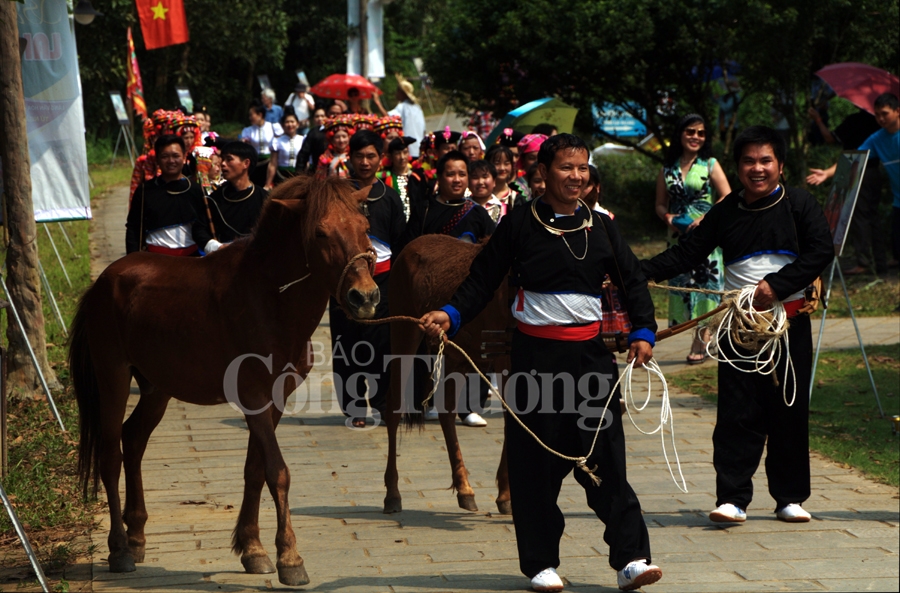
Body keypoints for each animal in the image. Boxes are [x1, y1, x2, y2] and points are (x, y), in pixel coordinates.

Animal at [71, 173, 380, 584]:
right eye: (320, 232)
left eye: (364, 227)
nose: (365, 297)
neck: (268, 298)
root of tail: (103, 281)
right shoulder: (253, 396)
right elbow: (278, 472)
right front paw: (289, 558)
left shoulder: (276, 398)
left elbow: (255, 470)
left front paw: (253, 549)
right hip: (113, 378)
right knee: (111, 455)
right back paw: (120, 549)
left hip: (157, 386)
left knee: (133, 439)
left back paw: (136, 536)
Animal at [384, 234, 510, 516]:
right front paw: (507, 495)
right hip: (404, 334)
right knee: (394, 409)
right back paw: (392, 494)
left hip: (455, 356)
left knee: (447, 412)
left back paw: (464, 489)